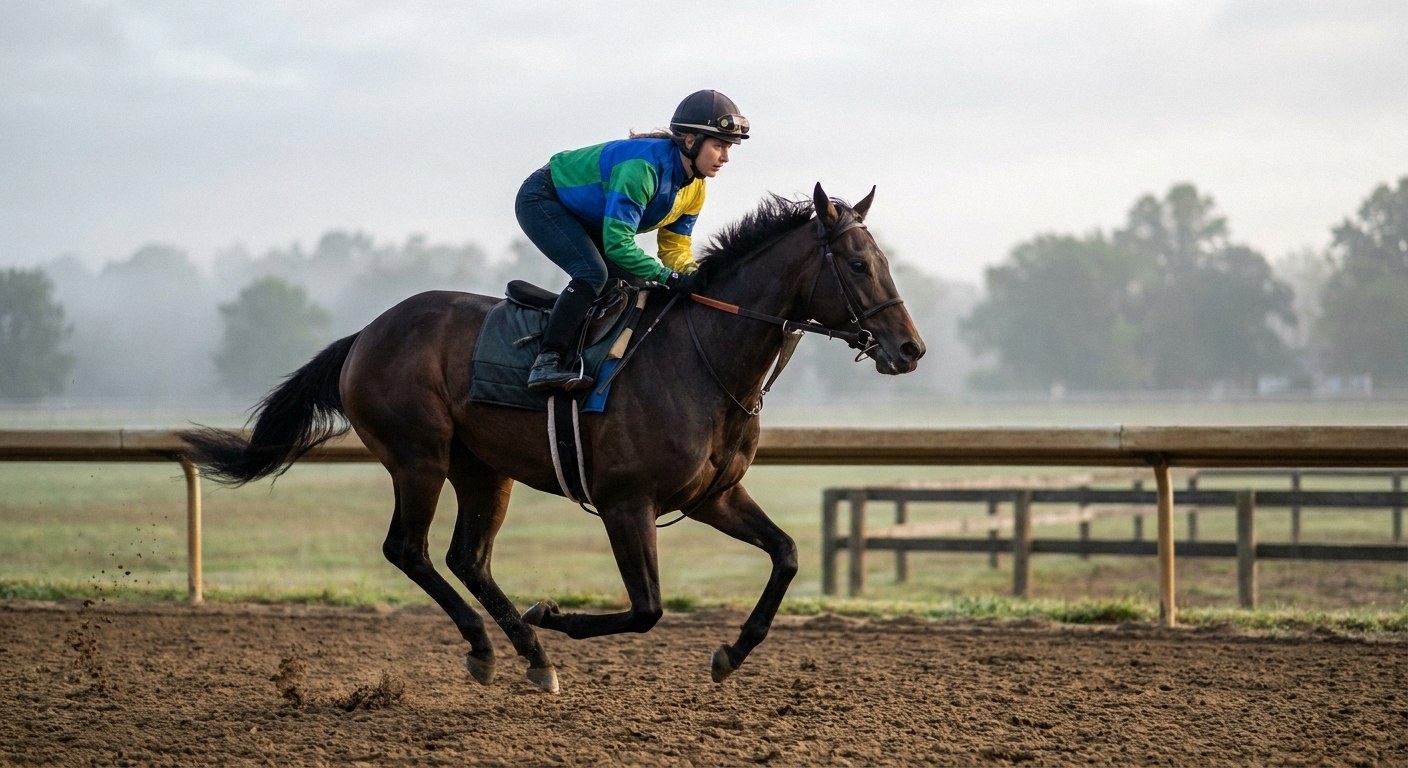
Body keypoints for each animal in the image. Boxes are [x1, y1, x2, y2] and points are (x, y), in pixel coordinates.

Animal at [180, 183, 925, 693]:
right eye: (858, 265)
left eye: (884, 261)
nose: (910, 349)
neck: (703, 359)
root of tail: (366, 333)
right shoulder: (627, 503)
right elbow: (647, 609)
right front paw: (553, 614)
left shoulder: (714, 495)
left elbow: (788, 555)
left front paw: (730, 653)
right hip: (418, 457)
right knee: (408, 549)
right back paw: (492, 646)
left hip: (484, 468)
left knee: (467, 557)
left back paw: (528, 655)